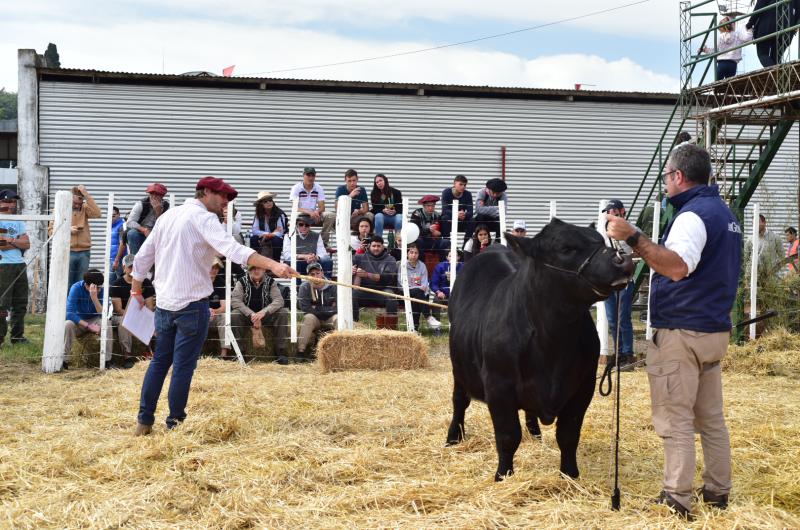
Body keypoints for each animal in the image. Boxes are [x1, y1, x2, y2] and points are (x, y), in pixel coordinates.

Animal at [450, 219, 632, 478]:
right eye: (566, 248)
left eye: (601, 240)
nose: (622, 260)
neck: (554, 341)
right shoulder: (498, 385)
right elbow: (508, 435)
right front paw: (503, 475)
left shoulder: (583, 387)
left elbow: (568, 435)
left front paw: (570, 475)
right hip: (458, 367)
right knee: (459, 401)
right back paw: (453, 437)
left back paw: (535, 433)